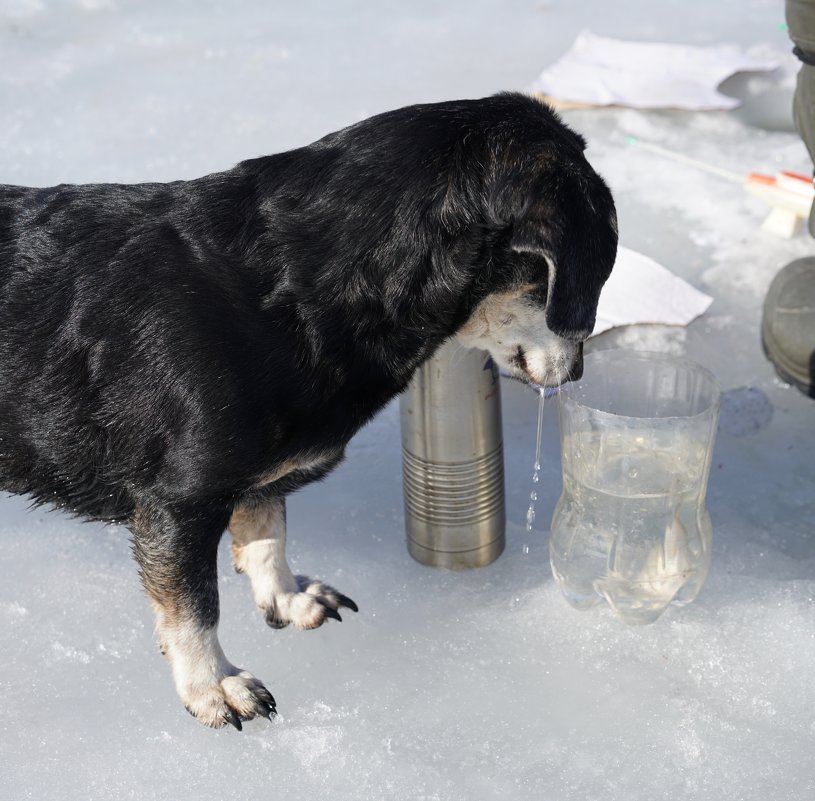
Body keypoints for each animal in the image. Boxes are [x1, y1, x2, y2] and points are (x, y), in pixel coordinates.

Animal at [0, 92, 616, 724]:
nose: (579, 373)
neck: (296, 288)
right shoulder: (177, 501)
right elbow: (195, 606)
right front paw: (214, 686)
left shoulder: (259, 474)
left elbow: (268, 531)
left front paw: (289, 599)